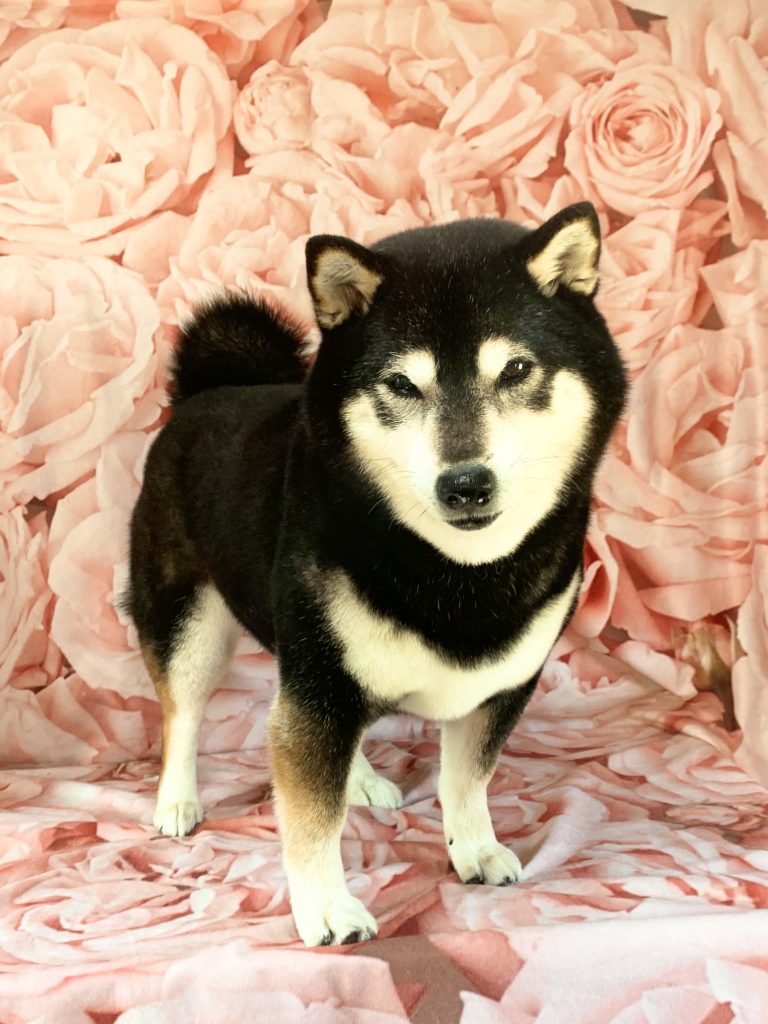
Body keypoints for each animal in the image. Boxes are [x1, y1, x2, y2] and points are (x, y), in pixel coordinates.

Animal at [126, 202, 627, 947]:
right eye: (401, 384)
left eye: (515, 369)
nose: (466, 484)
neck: (458, 572)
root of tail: (211, 390)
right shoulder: (320, 686)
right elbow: (312, 817)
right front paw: (328, 907)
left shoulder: (503, 686)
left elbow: (466, 780)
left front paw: (474, 846)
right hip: (193, 622)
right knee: (183, 714)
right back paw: (177, 801)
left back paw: (359, 778)